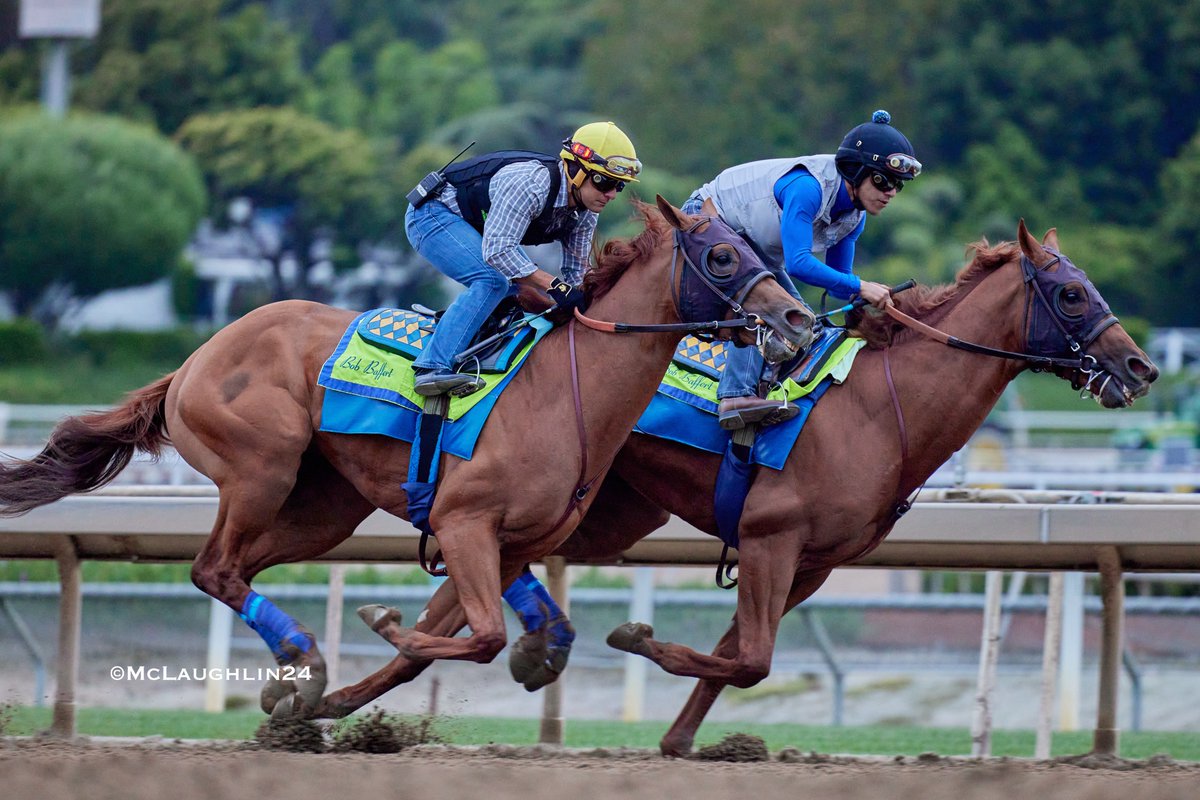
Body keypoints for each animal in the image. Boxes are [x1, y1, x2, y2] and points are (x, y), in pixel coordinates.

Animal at [0, 199, 816, 719]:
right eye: (722, 254)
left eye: (760, 248)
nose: (796, 319)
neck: (567, 392)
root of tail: (197, 358)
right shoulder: (462, 522)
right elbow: (479, 636)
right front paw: (385, 622)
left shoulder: (508, 540)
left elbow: (512, 630)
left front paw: (532, 652)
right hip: (261, 469)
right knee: (215, 569)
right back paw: (303, 660)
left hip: (323, 509)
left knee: (234, 570)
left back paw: (293, 677)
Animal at [554, 220, 1161, 758]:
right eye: (1072, 293)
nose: (1142, 368)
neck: (884, 411)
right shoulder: (771, 537)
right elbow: (752, 661)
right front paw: (634, 638)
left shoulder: (812, 563)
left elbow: (738, 654)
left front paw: (678, 741)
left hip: (616, 511)